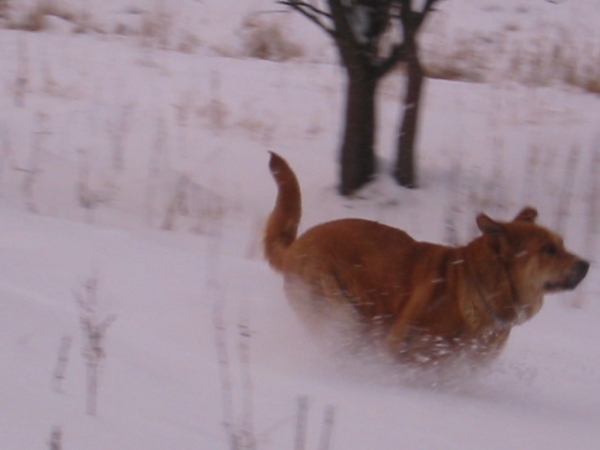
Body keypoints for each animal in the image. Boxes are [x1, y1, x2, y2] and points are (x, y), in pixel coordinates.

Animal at [264, 153, 592, 368]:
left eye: (562, 244)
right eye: (548, 249)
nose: (587, 265)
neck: (481, 292)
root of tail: (296, 245)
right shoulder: (402, 348)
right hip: (340, 310)